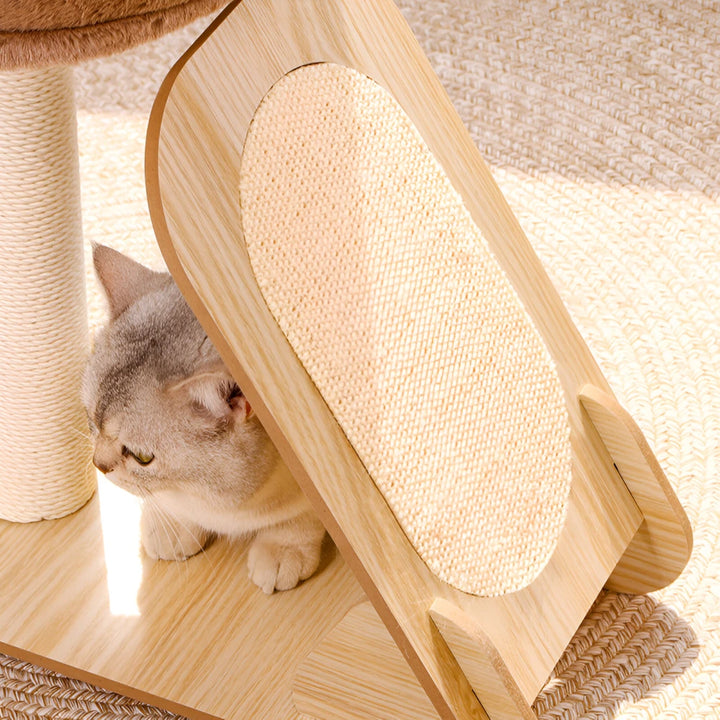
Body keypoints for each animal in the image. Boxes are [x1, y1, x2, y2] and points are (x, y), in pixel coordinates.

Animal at [81, 245, 324, 592]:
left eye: (142, 457)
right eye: (91, 420)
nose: (98, 465)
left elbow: (302, 517)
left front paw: (284, 548)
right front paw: (172, 527)